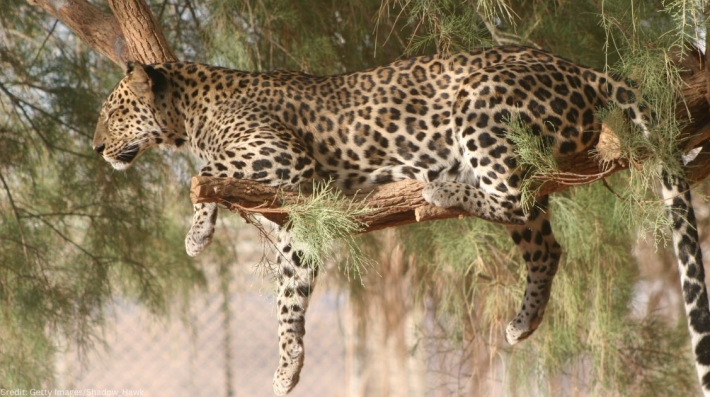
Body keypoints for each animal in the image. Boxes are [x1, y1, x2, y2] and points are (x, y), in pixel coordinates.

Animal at [92, 45, 710, 392]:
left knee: (508, 197)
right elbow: (290, 291)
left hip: (481, 110)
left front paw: (197, 231)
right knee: (542, 237)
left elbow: (205, 172)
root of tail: (576, 66)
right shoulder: (297, 218)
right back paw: (522, 320)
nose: (97, 147)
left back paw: (437, 187)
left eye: (113, 113)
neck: (189, 111)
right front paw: (288, 364)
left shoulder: (284, 159)